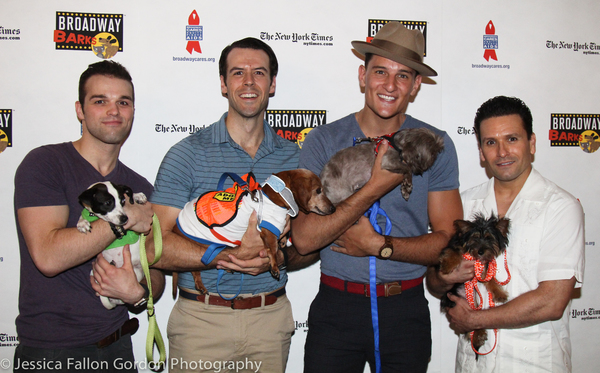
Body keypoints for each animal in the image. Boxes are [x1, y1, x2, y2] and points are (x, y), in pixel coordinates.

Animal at [438, 214, 508, 350]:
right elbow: (454, 252)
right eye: (475, 238)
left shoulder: (483, 267)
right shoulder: (455, 246)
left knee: (474, 319)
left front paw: (499, 294)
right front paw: (448, 265)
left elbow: (490, 280)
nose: (480, 251)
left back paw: (479, 334)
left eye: (489, 238)